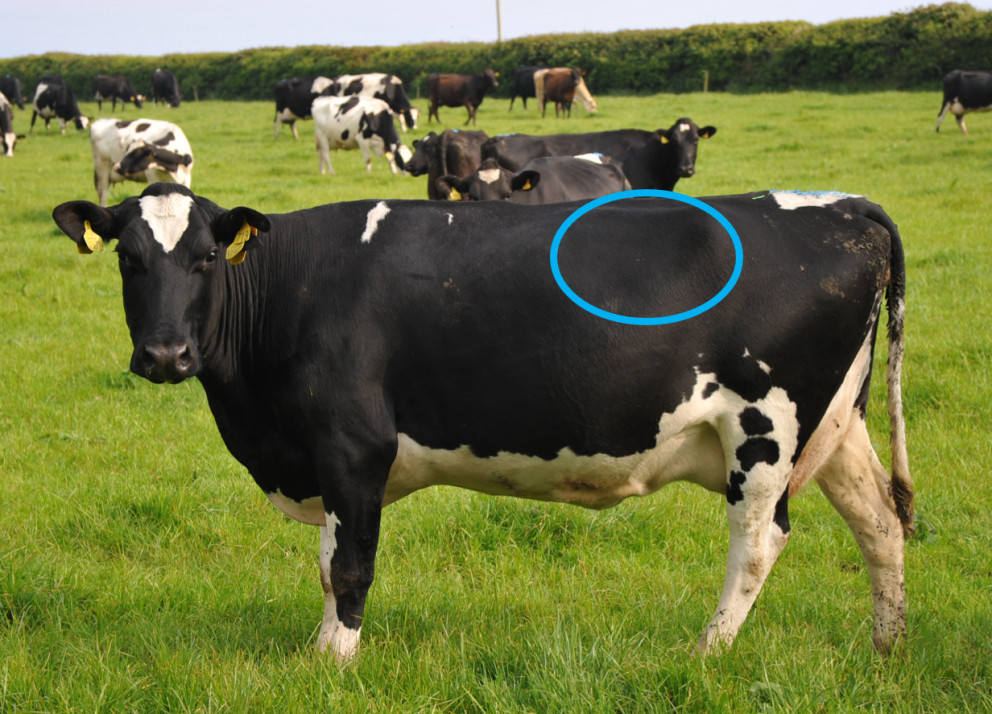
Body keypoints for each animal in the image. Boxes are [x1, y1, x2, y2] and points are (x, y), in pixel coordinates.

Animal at [52, 182, 913, 665]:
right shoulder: (324, 458)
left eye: (205, 258)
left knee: (760, 544)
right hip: (839, 425)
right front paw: (321, 650)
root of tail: (843, 205)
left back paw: (704, 652)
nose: (165, 354)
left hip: (766, 430)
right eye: (128, 258)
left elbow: (350, 565)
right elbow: (330, 564)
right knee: (881, 520)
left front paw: (335, 662)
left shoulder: (352, 446)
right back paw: (886, 647)